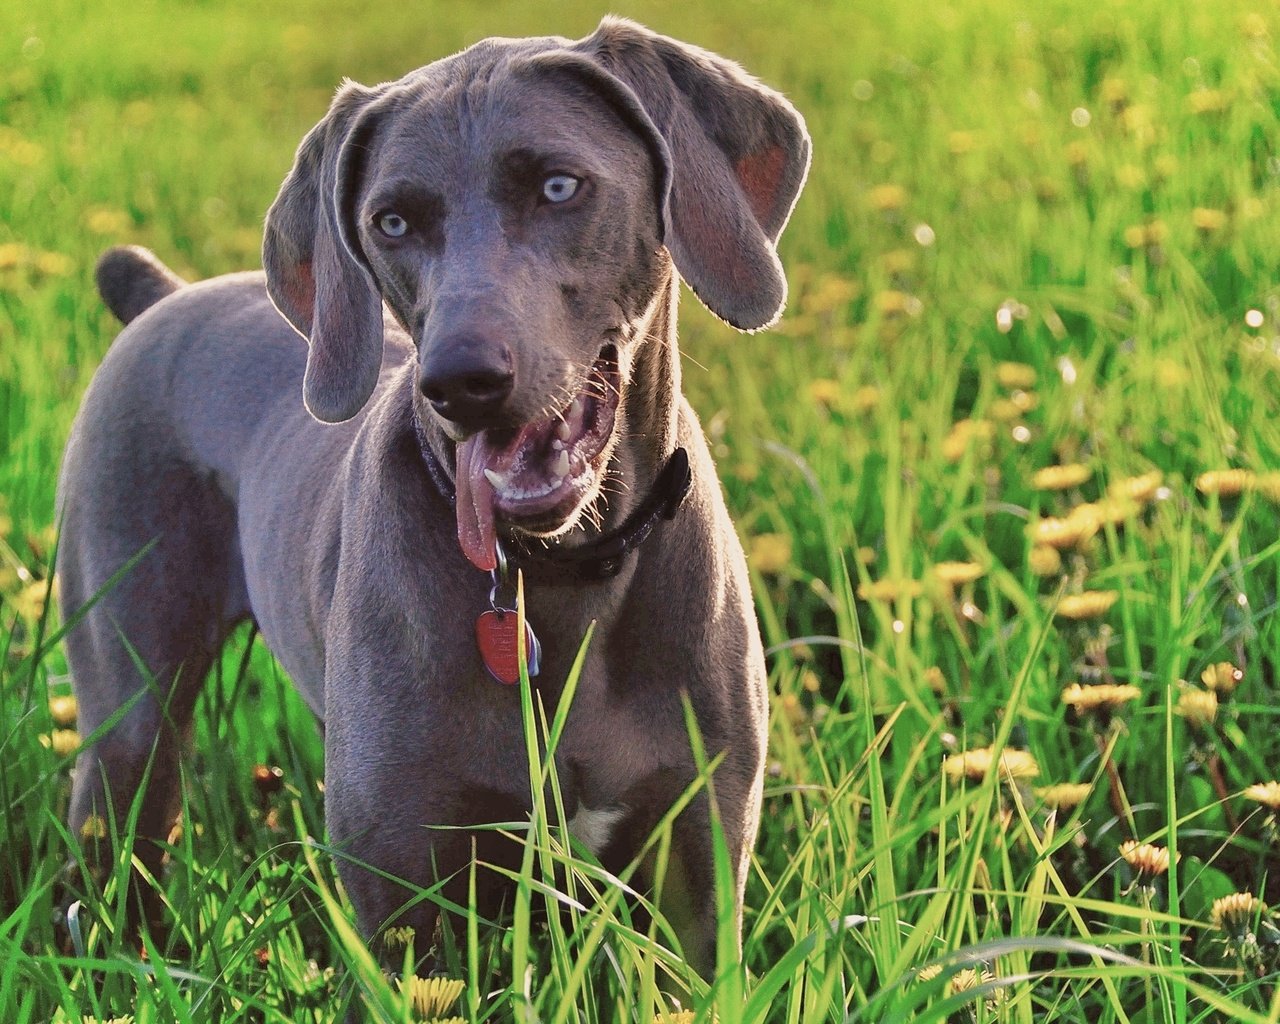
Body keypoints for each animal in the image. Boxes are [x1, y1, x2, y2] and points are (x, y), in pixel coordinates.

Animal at [57, 18, 808, 977]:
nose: (461, 382)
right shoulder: (405, 896)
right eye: (392, 221)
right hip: (129, 712)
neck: (559, 576)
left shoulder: (697, 875)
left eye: (559, 185)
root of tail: (165, 296)